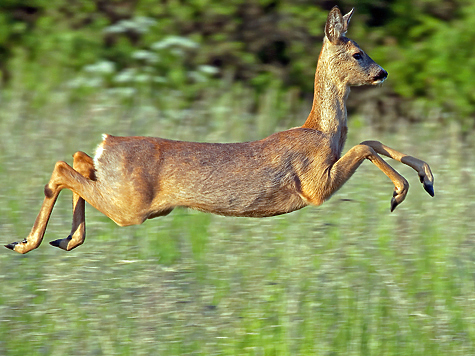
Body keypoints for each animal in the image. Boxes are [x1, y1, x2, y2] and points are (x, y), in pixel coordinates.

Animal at [5, 6, 436, 254]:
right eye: (358, 53)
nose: (382, 73)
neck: (320, 131)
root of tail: (107, 143)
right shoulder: (315, 186)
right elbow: (364, 144)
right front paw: (400, 192)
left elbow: (372, 140)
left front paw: (427, 178)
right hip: (130, 206)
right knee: (63, 168)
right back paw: (26, 243)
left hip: (122, 192)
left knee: (77, 160)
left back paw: (59, 240)